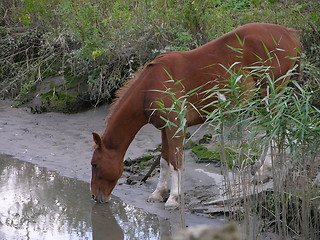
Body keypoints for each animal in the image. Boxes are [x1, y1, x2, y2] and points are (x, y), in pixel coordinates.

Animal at [90, 23, 300, 209]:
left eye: (94, 164)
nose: (94, 196)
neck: (150, 87)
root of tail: (289, 33)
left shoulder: (175, 127)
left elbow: (175, 162)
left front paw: (173, 198)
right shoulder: (164, 129)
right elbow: (164, 161)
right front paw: (158, 193)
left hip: (270, 94)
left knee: (276, 128)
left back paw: (264, 171)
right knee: (272, 129)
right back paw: (260, 166)